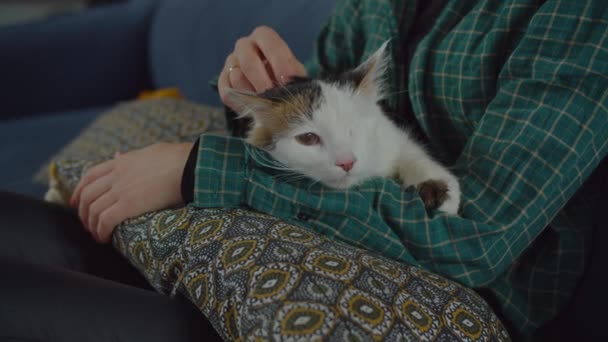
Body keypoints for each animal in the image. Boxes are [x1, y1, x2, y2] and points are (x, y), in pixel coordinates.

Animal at [228, 42, 460, 214]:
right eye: (308, 138)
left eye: (353, 128)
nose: (347, 163)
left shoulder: (392, 135)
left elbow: (412, 153)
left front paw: (438, 189)